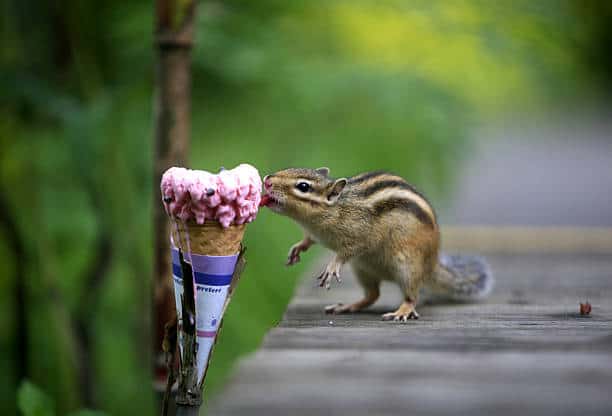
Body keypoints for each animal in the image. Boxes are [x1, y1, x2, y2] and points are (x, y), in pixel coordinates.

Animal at [260, 167, 494, 322]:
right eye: (287, 169)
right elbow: (308, 240)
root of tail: (432, 263)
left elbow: (348, 251)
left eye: (303, 186)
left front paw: (333, 265)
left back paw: (402, 311)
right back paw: (348, 306)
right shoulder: (314, 233)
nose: (267, 180)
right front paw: (298, 248)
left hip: (408, 265)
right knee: (372, 295)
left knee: (412, 295)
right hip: (363, 269)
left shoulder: (360, 235)